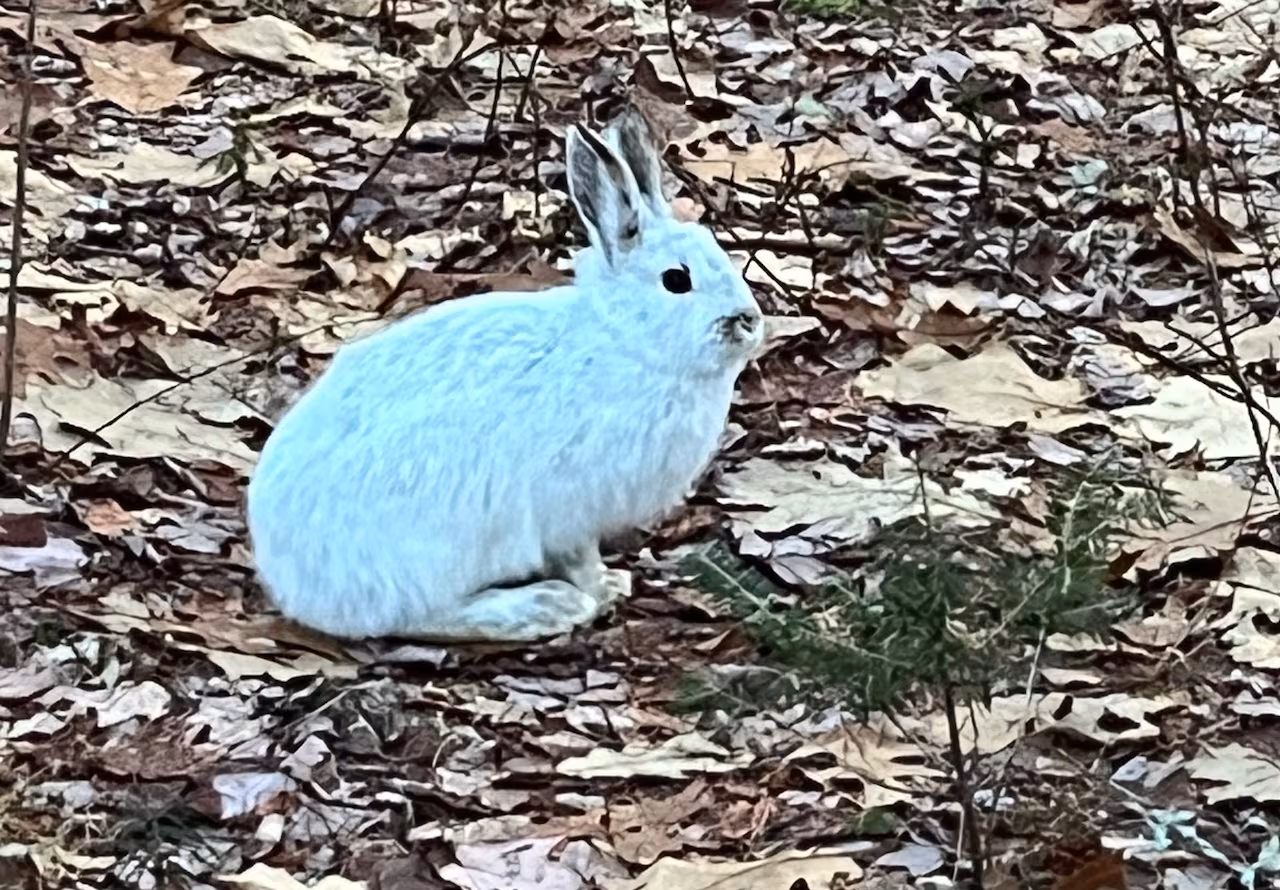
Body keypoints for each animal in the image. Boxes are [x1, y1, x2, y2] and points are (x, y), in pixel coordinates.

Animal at [246, 104, 764, 642]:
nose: (748, 320)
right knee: (422, 618)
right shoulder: (569, 512)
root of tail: (296, 588)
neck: (626, 341)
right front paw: (604, 589)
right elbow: (579, 559)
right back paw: (545, 608)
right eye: (676, 280)